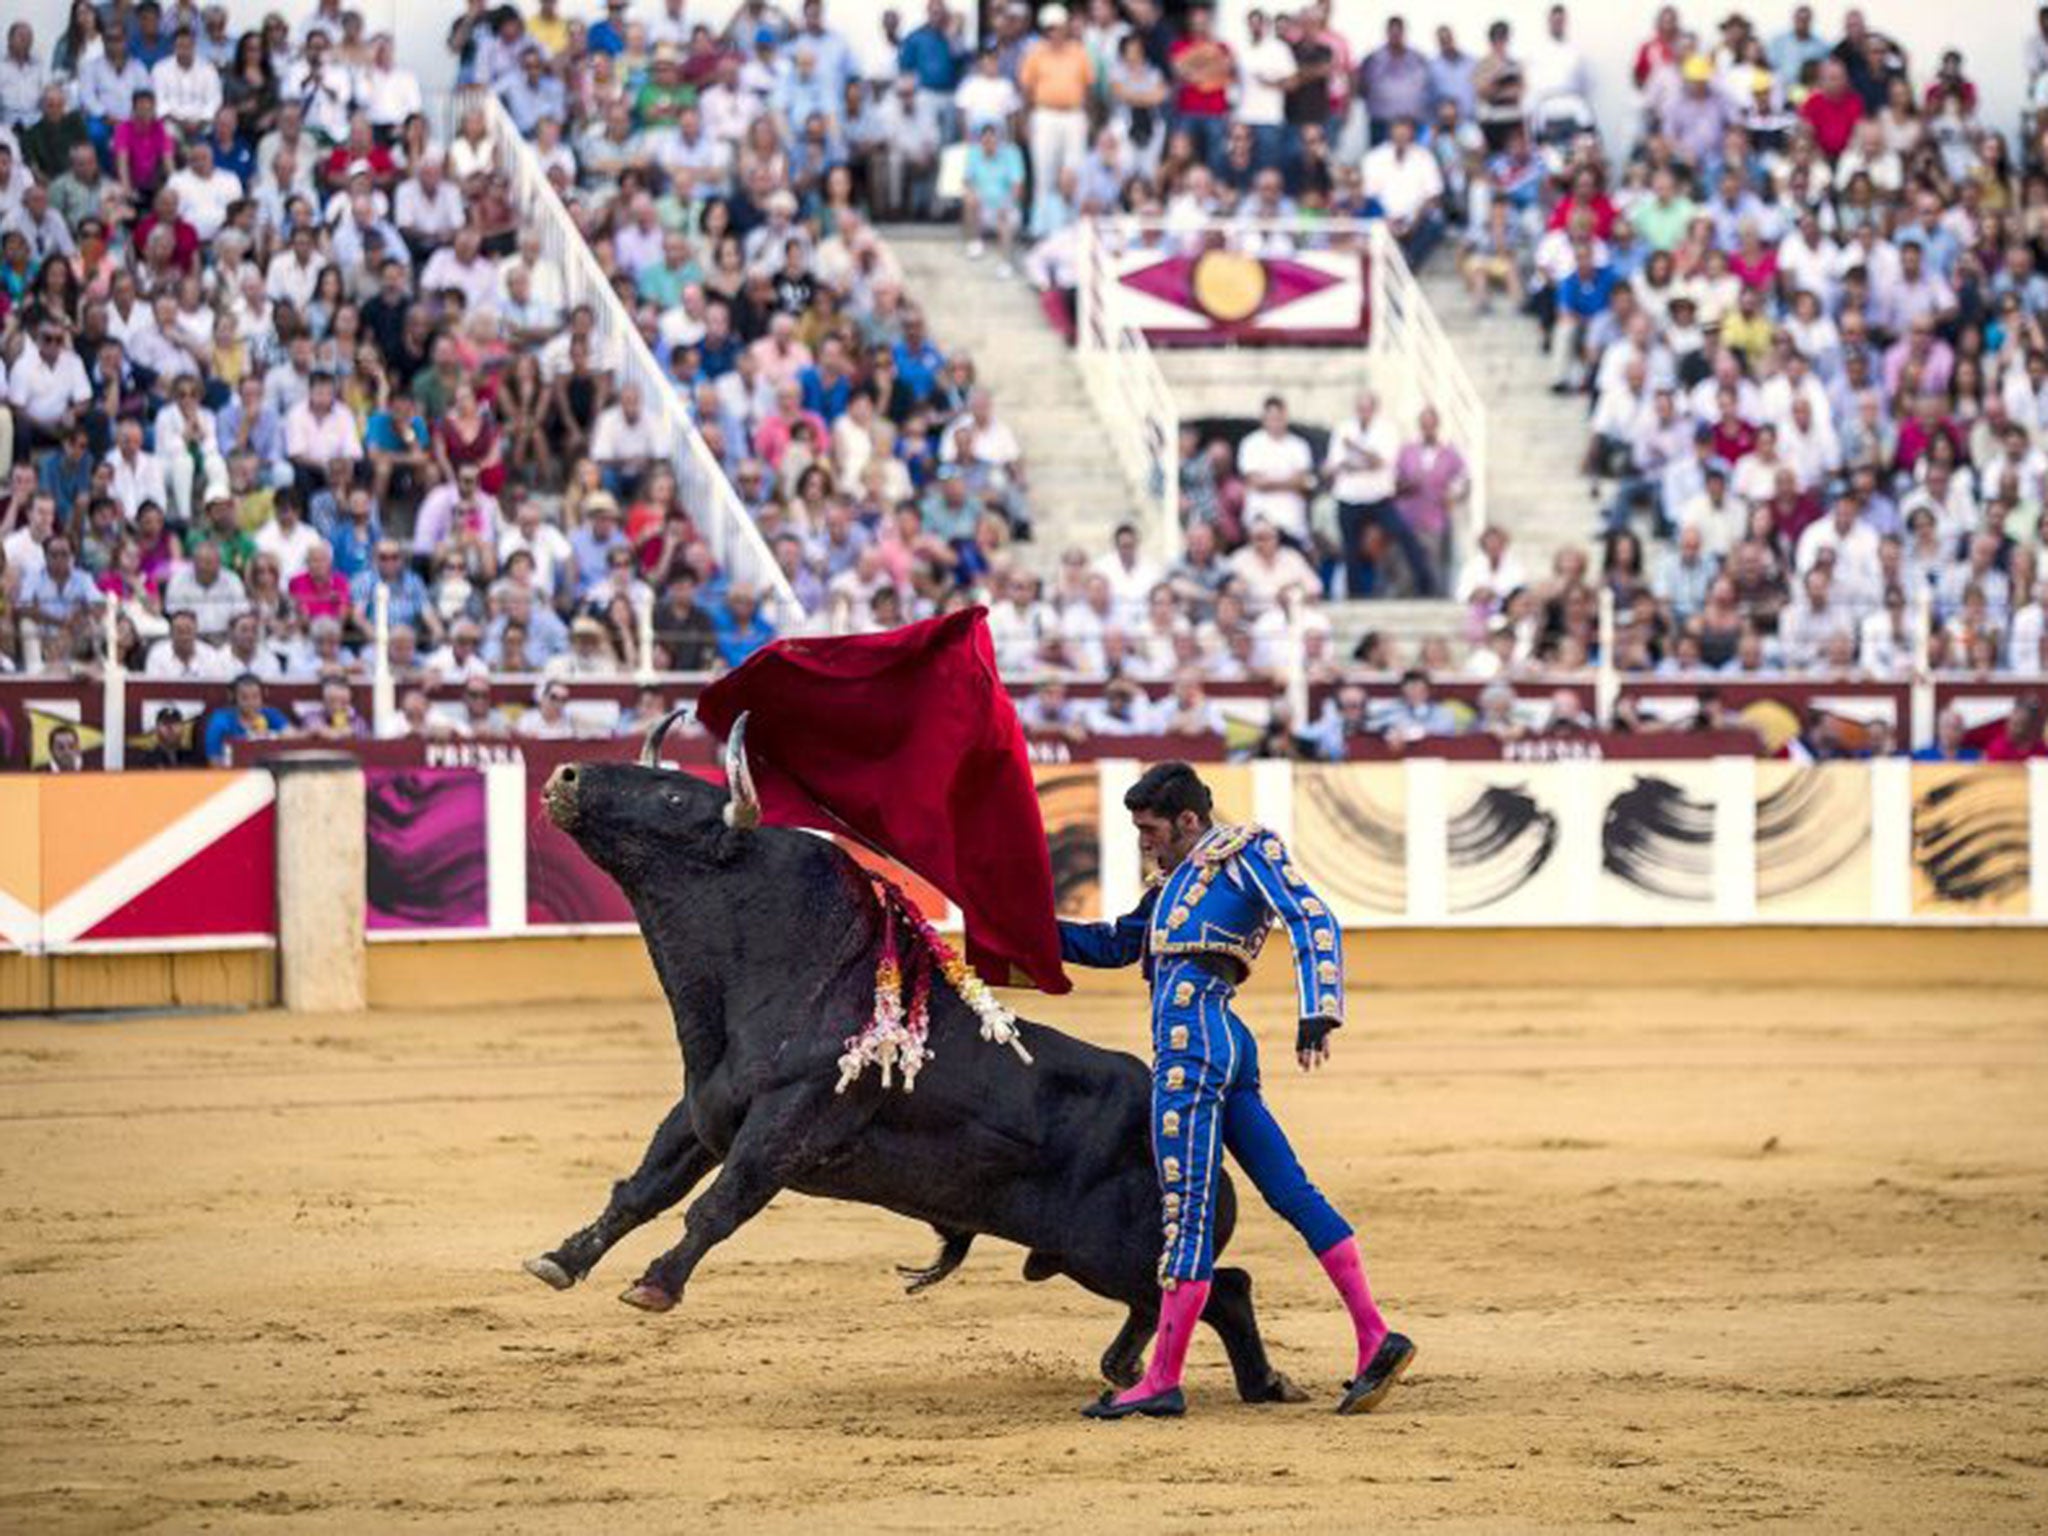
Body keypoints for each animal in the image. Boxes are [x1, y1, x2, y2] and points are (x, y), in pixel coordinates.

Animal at [520, 733, 1302, 1409]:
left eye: (675, 797)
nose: (566, 776)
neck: (793, 970)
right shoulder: (702, 1111)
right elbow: (643, 1188)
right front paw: (563, 1258)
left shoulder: (788, 1120)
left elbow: (719, 1203)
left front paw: (655, 1285)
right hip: (1091, 1253)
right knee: (1179, 1295)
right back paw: (1138, 1369)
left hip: (1111, 1246)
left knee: (1220, 1287)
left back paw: (1257, 1383)